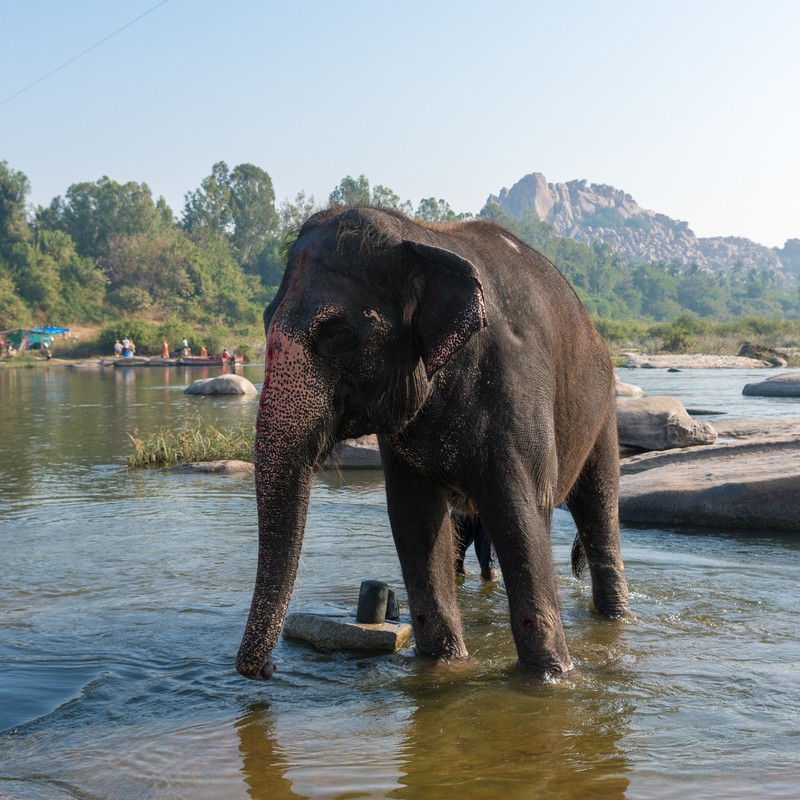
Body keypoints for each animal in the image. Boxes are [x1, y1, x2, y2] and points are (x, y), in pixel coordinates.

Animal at [234, 206, 628, 680]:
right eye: (265, 319)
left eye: (338, 336)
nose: (268, 669)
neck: (422, 238)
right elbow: (414, 518)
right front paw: (444, 666)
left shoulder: (518, 387)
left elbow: (519, 513)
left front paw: (550, 679)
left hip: (604, 408)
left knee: (598, 506)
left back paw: (615, 618)